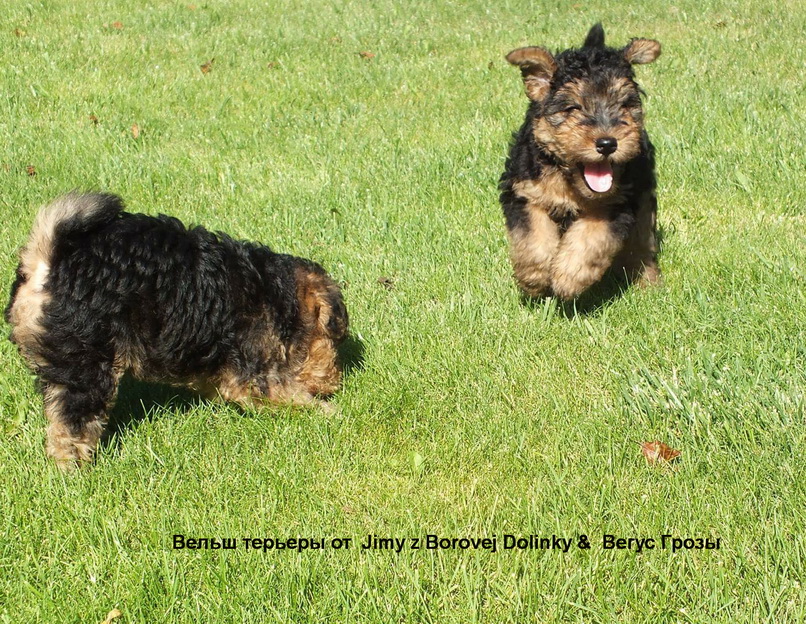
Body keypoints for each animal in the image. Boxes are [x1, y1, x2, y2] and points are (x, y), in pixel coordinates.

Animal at [5, 193, 348, 468]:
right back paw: (73, 467)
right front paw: (330, 411)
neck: (274, 291)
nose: (335, 383)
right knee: (72, 418)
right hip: (86, 357)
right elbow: (287, 395)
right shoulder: (254, 370)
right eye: (332, 338)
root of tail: (47, 260)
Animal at [500, 24, 662, 300]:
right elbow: (533, 238)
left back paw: (648, 282)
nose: (607, 144)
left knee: (642, 242)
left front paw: (568, 278)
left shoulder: (616, 202)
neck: (569, 182)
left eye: (624, 105)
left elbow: (590, 237)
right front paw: (534, 279)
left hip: (643, 193)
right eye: (573, 107)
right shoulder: (524, 193)